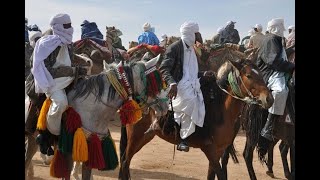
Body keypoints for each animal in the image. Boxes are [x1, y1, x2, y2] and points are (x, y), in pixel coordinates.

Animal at [119, 47, 274, 179]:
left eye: (261, 74)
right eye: (248, 75)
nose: (269, 99)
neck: (221, 108)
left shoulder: (218, 151)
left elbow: (212, 175)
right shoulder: (210, 150)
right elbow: (221, 175)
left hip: (146, 136)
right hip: (136, 136)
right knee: (125, 162)